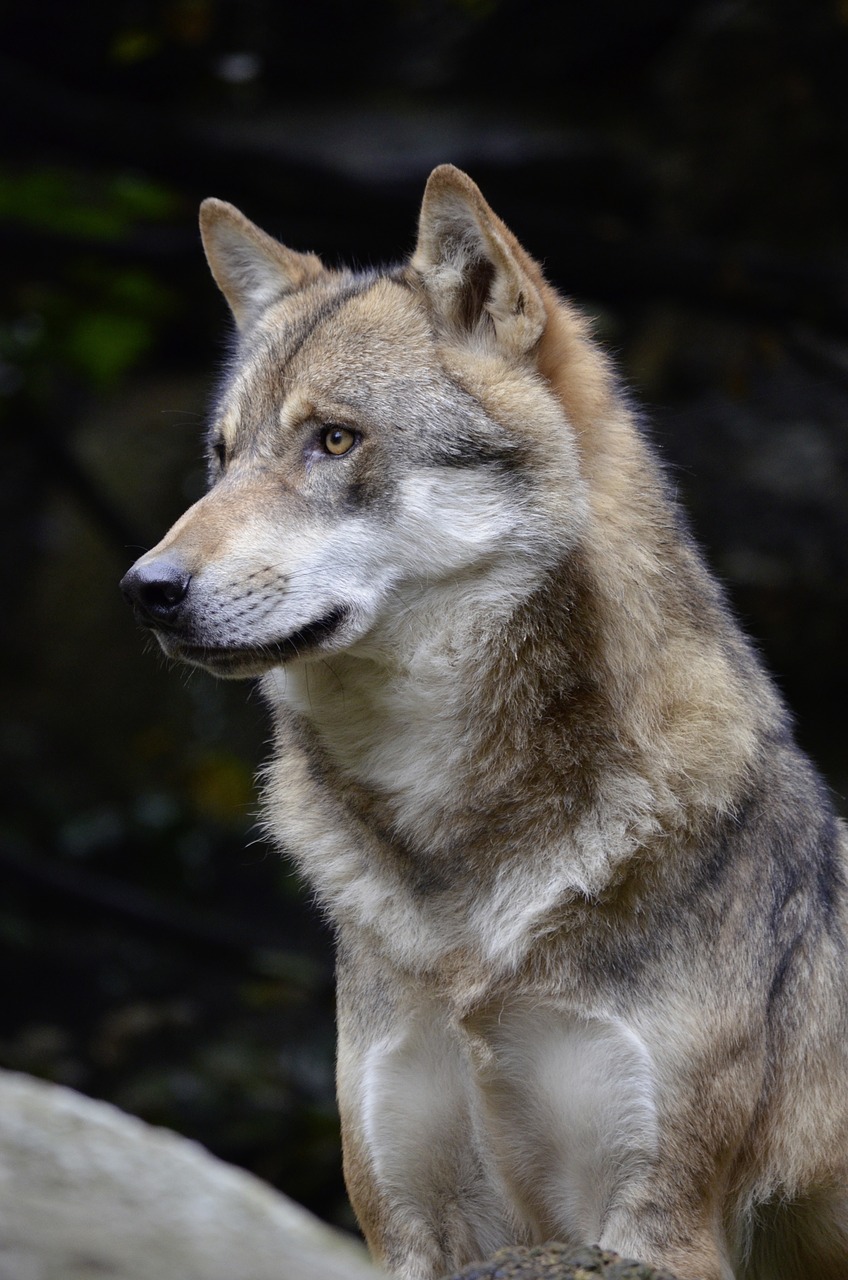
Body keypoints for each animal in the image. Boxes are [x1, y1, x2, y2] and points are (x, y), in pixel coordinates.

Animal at [122, 170, 848, 1280]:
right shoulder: (408, 1223)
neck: (462, 867)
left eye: (335, 438)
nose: (147, 589)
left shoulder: (653, 1223)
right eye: (222, 456)